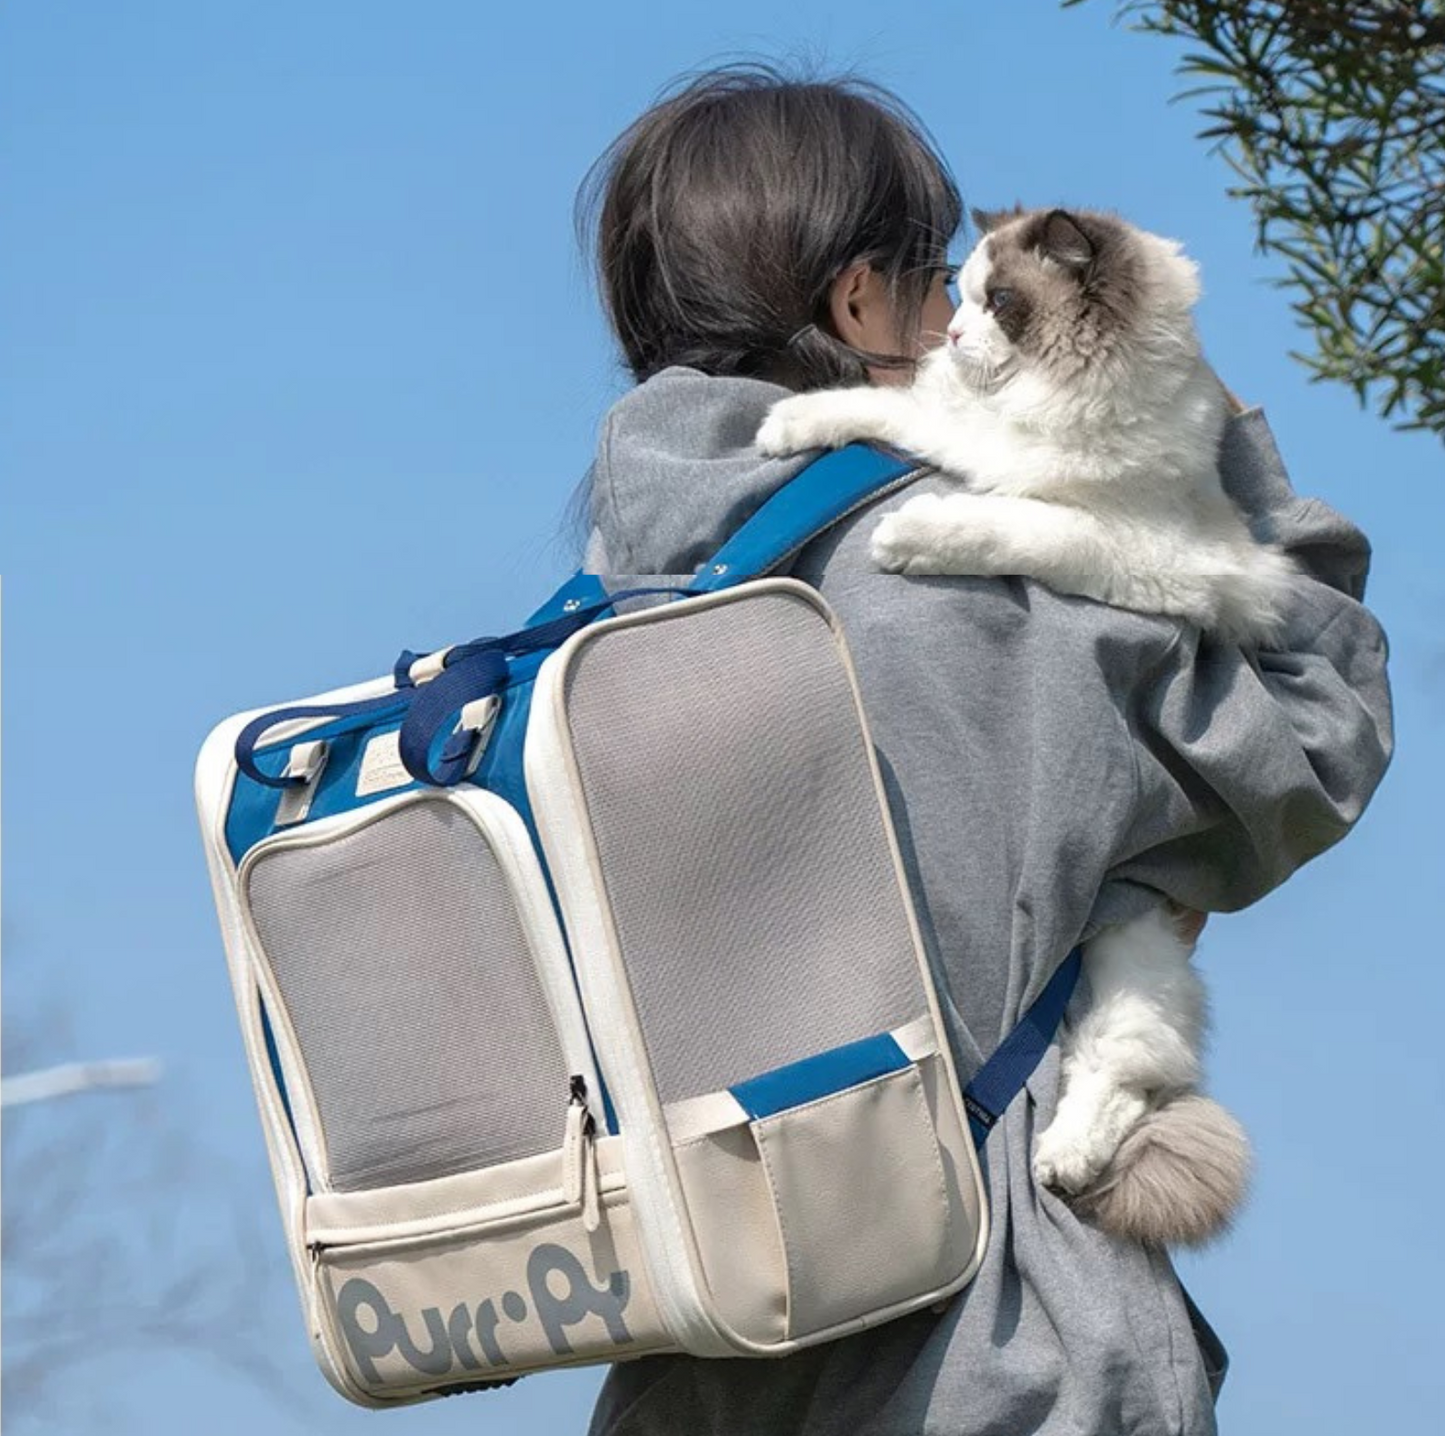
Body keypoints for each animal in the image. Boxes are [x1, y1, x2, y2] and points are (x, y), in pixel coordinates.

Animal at [757, 203, 1288, 1242]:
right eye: (958, 295)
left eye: (1000, 303)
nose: (954, 339)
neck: (1055, 406)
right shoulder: (961, 431)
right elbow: (886, 413)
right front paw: (783, 427)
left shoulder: (1128, 549)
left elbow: (1011, 524)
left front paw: (911, 538)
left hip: (1124, 954)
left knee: (1123, 1076)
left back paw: (1062, 1161)